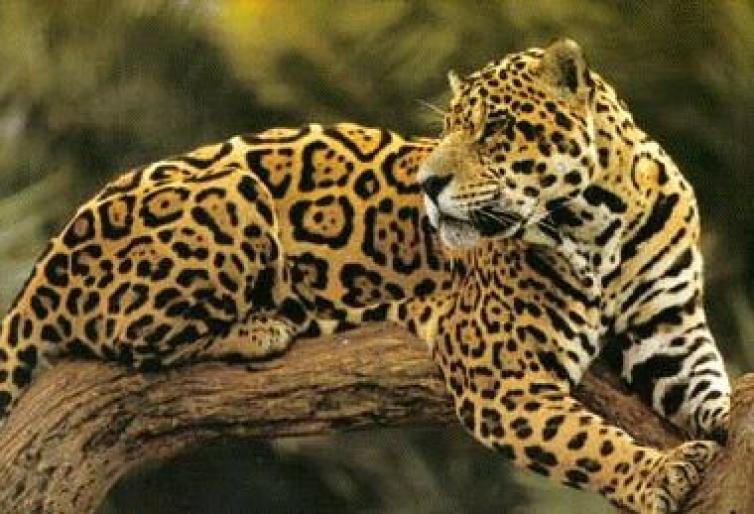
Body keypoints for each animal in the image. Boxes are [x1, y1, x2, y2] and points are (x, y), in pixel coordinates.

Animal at [0, 38, 730, 513]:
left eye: (496, 128)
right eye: (448, 128)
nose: (428, 184)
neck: (597, 221)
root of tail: (50, 252)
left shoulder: (668, 330)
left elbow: (708, 385)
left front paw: (718, 423)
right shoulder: (501, 376)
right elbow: (587, 441)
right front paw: (657, 473)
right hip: (230, 193)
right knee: (130, 338)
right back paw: (261, 327)